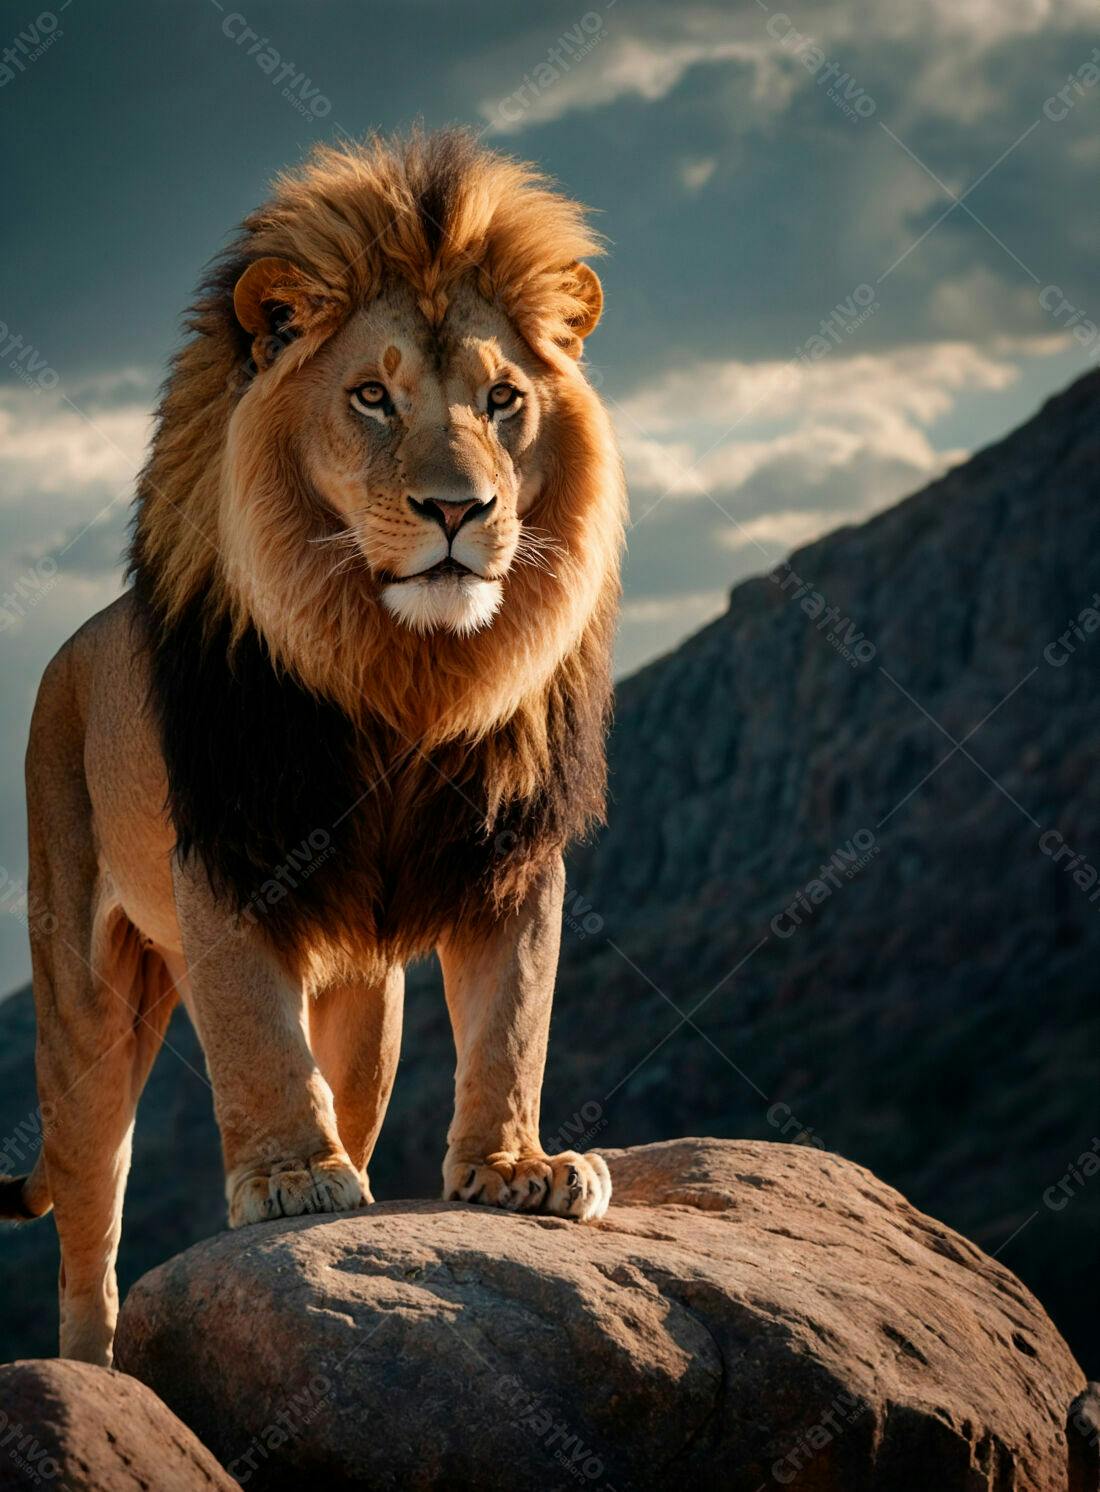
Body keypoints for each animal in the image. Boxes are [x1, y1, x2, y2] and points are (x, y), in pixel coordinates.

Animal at [0, 129, 625, 1367]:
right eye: (372, 397)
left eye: (502, 399)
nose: (457, 509)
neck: (408, 671)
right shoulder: (233, 850)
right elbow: (253, 1032)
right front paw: (290, 1178)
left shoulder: (510, 855)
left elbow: (510, 1019)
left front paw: (514, 1167)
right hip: (82, 999)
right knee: (90, 1219)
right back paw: (95, 1370)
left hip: (366, 999)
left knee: (357, 1076)